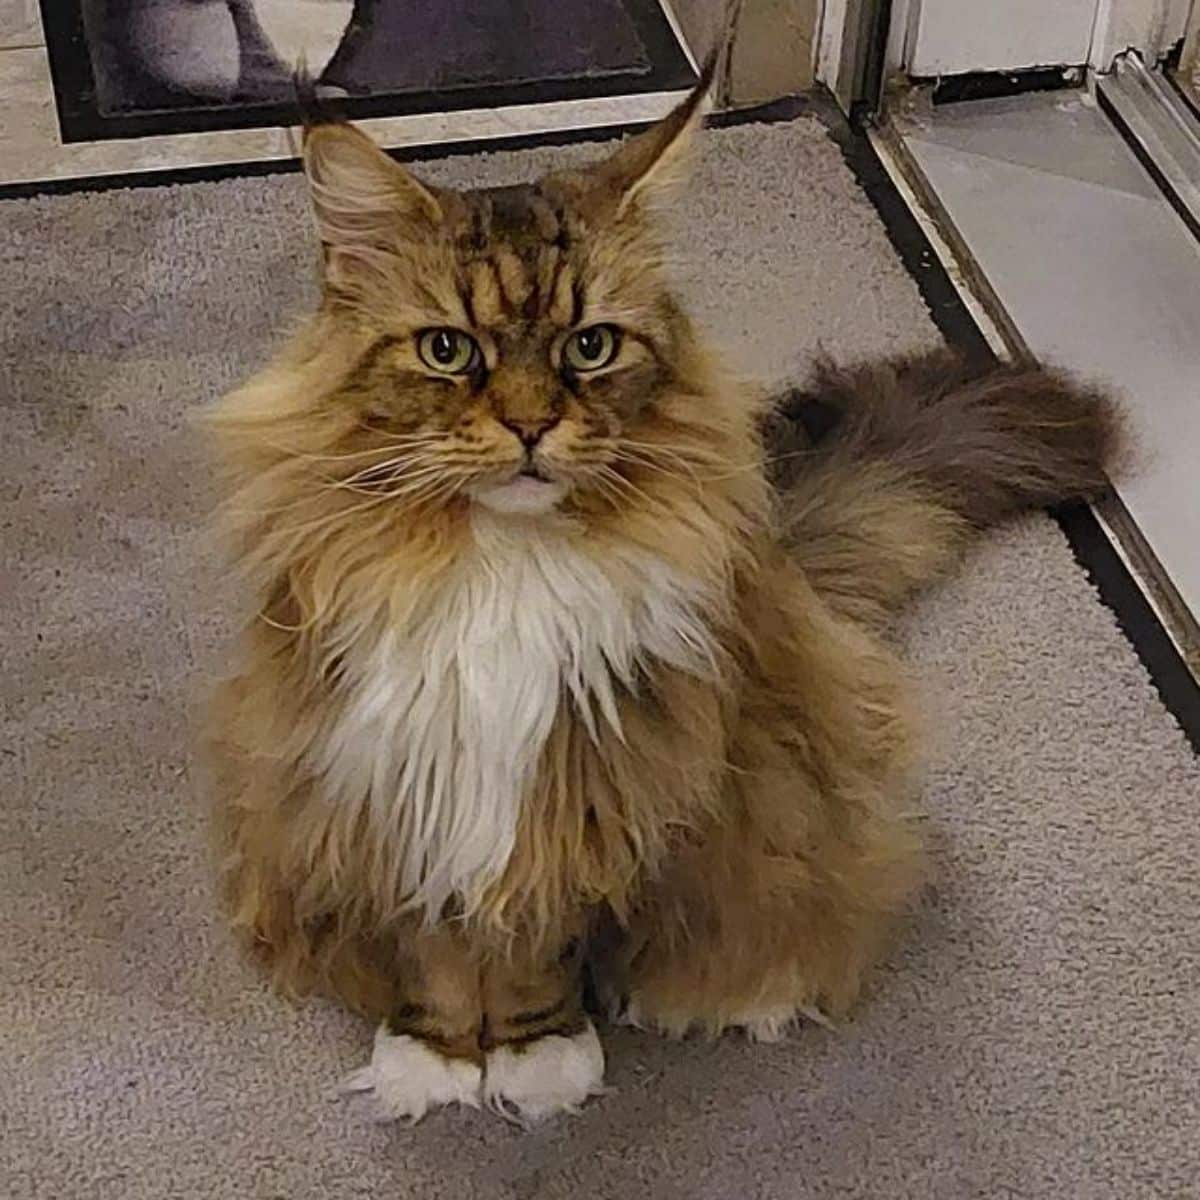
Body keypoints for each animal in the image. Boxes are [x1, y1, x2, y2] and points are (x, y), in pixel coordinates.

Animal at [201, 77, 1118, 1123]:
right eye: (448, 351)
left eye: (590, 347)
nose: (530, 426)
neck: (502, 568)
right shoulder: (394, 777)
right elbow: (435, 950)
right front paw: (433, 1057)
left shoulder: (589, 786)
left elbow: (535, 948)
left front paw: (537, 1059)